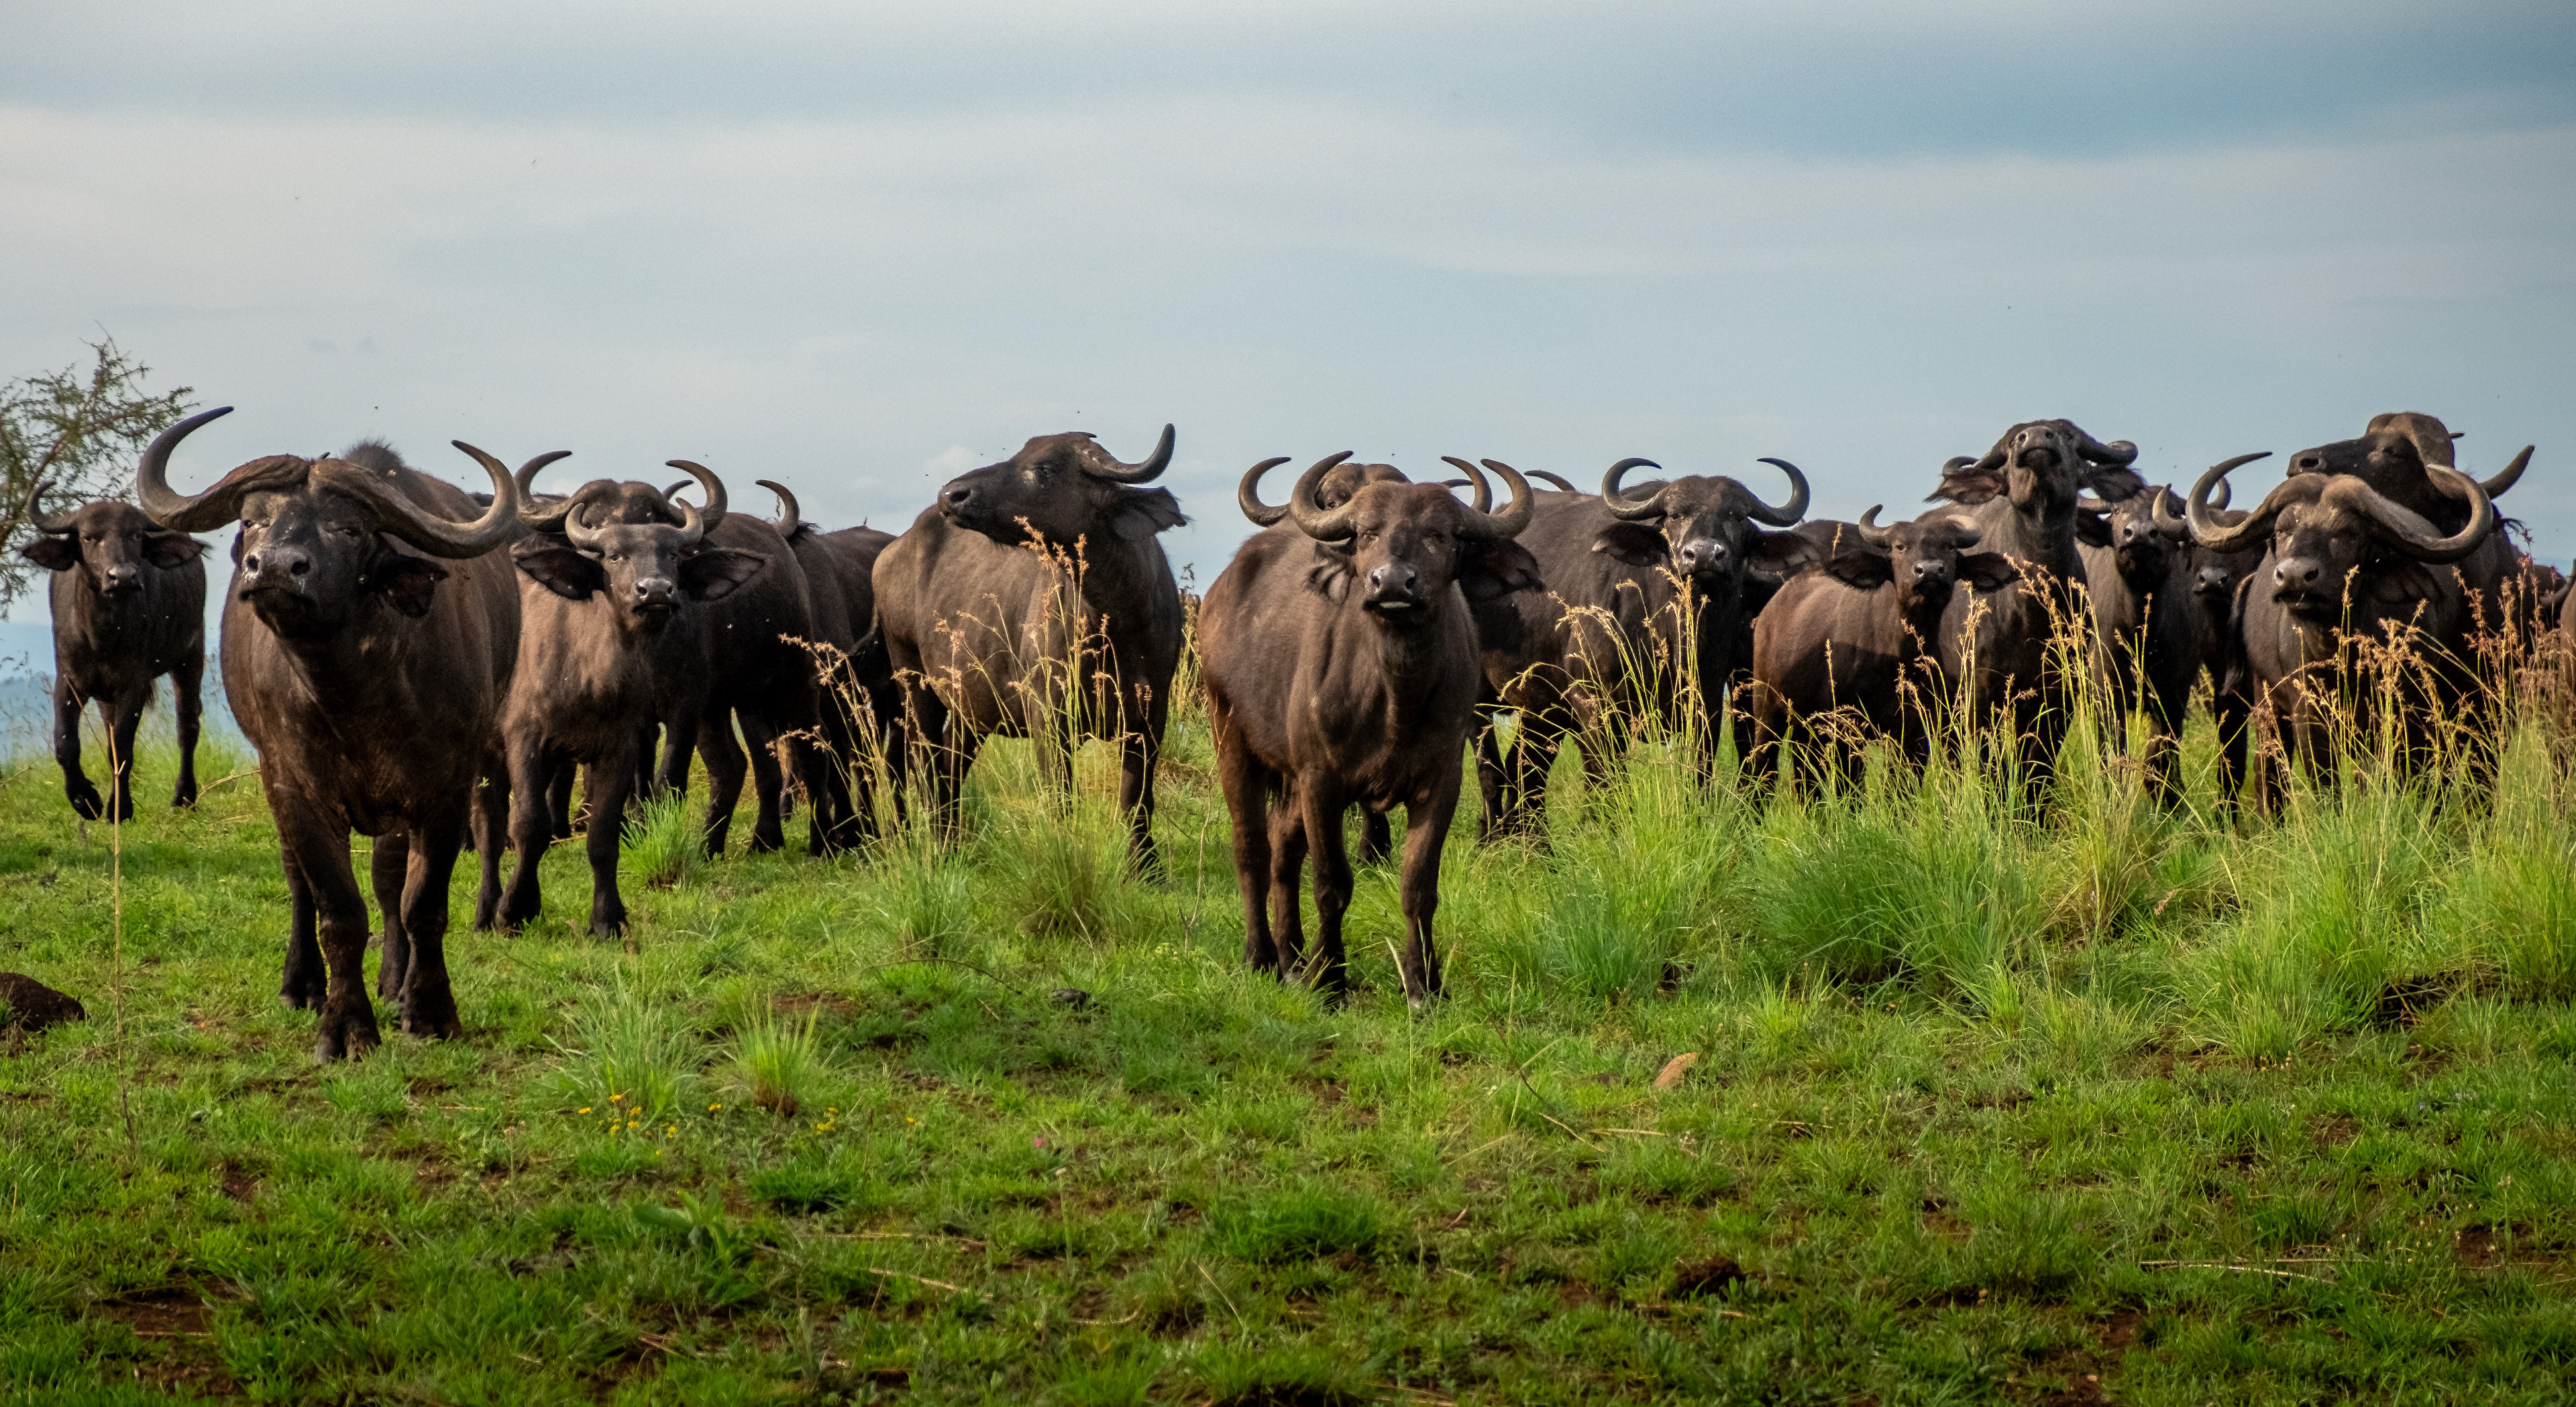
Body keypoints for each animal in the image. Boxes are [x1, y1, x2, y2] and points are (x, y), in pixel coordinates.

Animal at [17, 482, 208, 820]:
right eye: (88, 537)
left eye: (136, 535)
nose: (123, 577)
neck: (102, 635)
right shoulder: (69, 681)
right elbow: (66, 744)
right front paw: (86, 800)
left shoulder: (134, 685)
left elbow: (124, 747)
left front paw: (120, 809)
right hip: (106, 695)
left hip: (190, 656)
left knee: (187, 726)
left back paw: (184, 797)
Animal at [138, 409, 527, 1061]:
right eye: (253, 518)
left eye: (348, 529)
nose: (272, 567)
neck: (353, 694)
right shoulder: (298, 790)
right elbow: (338, 911)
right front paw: (345, 1028)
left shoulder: (443, 790)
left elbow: (421, 904)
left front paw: (428, 1012)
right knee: (299, 882)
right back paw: (302, 986)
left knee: (392, 884)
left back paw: (395, 982)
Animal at [1203, 453, 1540, 1003]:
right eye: (1366, 533)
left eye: (1440, 534)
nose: (1393, 584)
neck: (1395, 698)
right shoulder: (1322, 780)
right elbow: (1332, 883)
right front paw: (1330, 980)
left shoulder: (1441, 781)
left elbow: (1419, 886)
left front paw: (1425, 985)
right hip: (1229, 732)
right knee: (1251, 845)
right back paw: (1262, 957)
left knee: (1283, 848)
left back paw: (1292, 957)